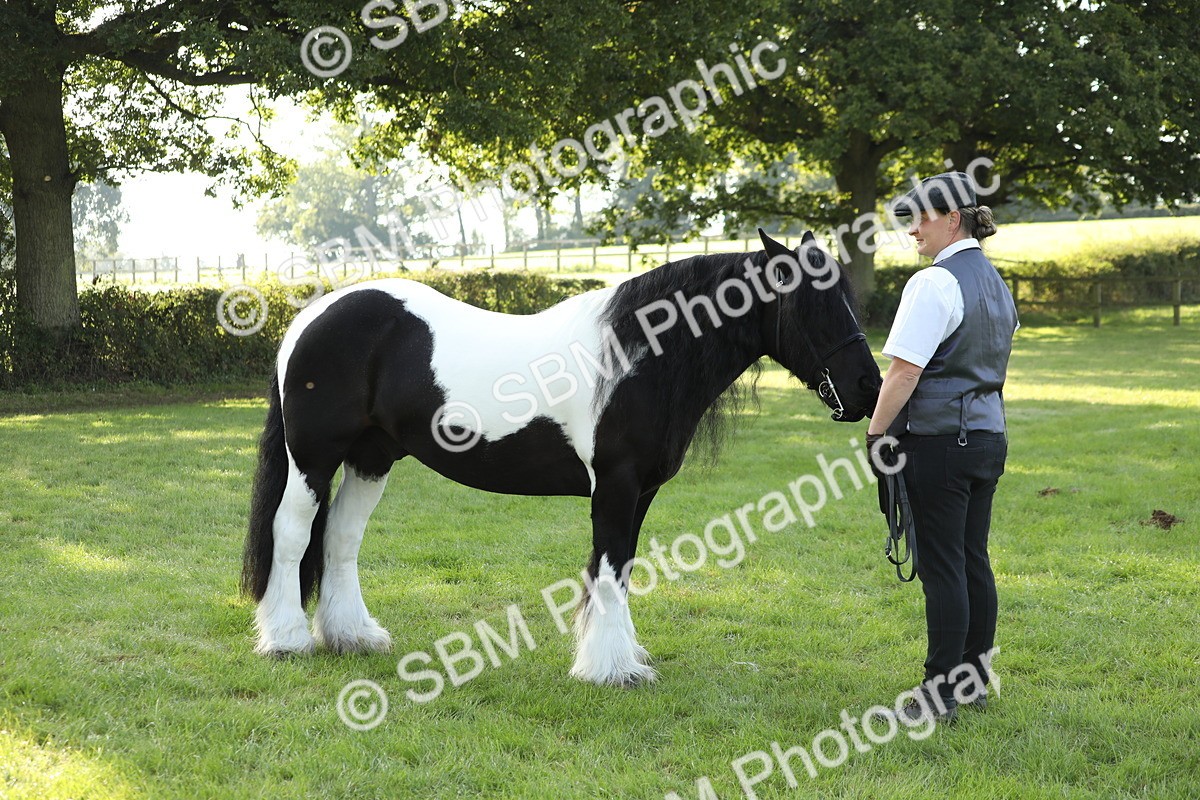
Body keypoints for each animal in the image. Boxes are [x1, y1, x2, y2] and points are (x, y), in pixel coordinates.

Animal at [241, 229, 882, 686]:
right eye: (809, 303)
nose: (869, 389)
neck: (638, 356)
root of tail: (308, 317)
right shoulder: (616, 486)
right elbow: (608, 567)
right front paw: (609, 669)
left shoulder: (642, 491)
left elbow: (623, 568)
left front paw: (623, 659)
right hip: (313, 458)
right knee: (292, 532)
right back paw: (286, 640)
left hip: (372, 456)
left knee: (340, 538)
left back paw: (352, 637)